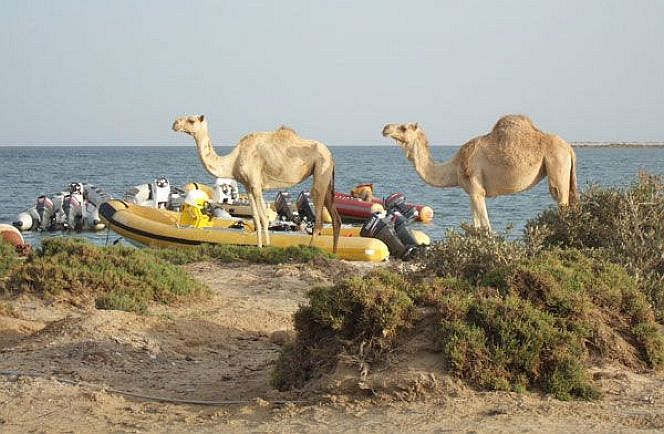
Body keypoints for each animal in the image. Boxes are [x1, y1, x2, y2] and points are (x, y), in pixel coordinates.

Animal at [171, 114, 342, 251]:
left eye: (191, 120)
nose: (175, 123)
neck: (233, 160)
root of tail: (331, 155)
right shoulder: (248, 186)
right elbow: (255, 218)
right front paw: (259, 246)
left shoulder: (255, 185)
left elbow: (264, 218)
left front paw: (267, 246)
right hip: (325, 178)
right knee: (336, 218)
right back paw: (333, 252)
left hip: (321, 167)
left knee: (318, 215)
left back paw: (309, 248)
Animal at [382, 115, 580, 231]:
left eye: (403, 128)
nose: (385, 128)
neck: (454, 167)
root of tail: (569, 148)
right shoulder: (471, 193)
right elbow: (476, 227)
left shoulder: (477, 190)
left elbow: (486, 228)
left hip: (557, 164)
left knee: (561, 200)